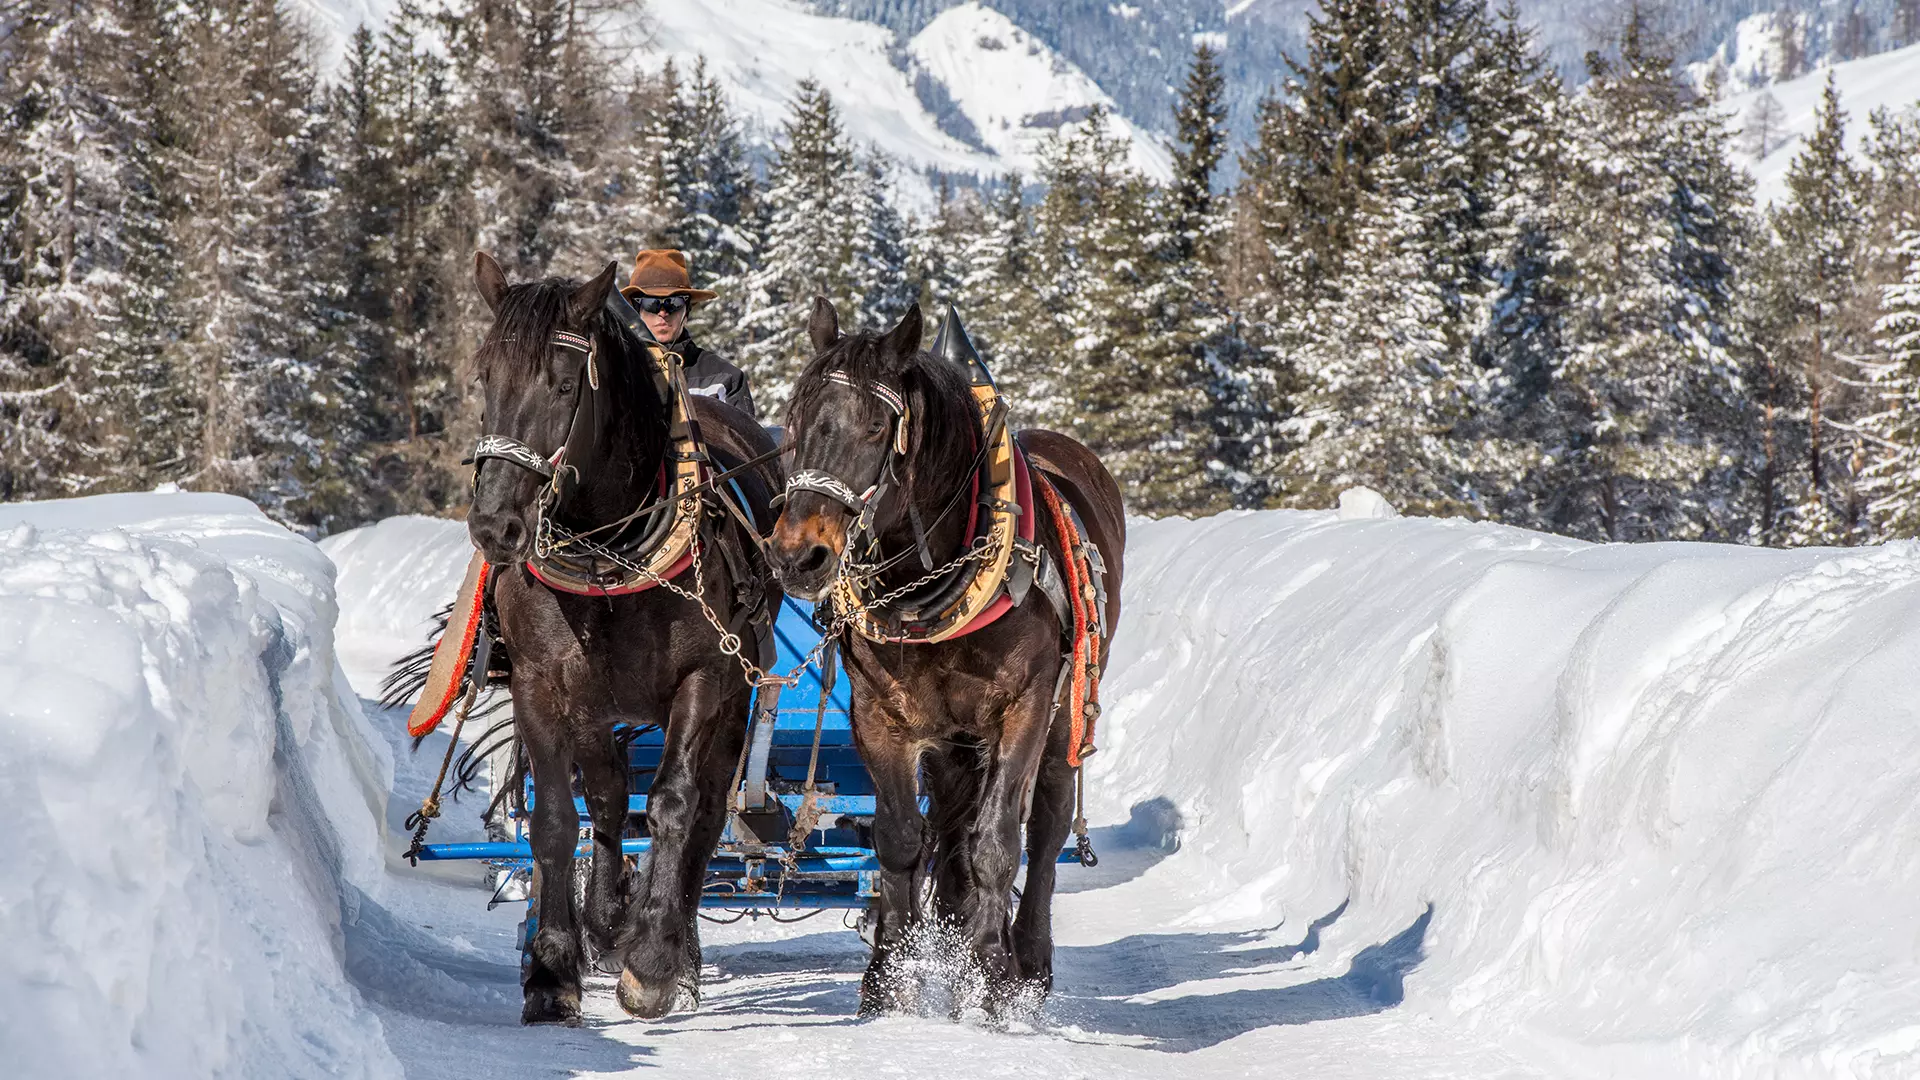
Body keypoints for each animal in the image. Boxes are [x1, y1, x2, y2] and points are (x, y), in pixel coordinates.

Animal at [464, 249, 779, 1014]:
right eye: (484, 376)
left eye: (563, 382)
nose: (495, 526)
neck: (608, 553)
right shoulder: (544, 684)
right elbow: (558, 816)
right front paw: (554, 969)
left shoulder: (704, 679)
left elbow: (671, 805)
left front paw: (653, 962)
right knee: (607, 793)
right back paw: (607, 917)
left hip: (734, 698)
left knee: (703, 815)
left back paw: (673, 951)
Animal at [768, 295, 1121, 1006]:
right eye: (794, 423)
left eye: (878, 426)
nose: (797, 556)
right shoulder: (881, 718)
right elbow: (901, 840)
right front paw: (887, 979)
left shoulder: (1024, 710)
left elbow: (997, 843)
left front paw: (992, 973)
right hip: (955, 741)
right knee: (953, 831)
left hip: (1065, 719)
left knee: (1044, 830)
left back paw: (1027, 961)